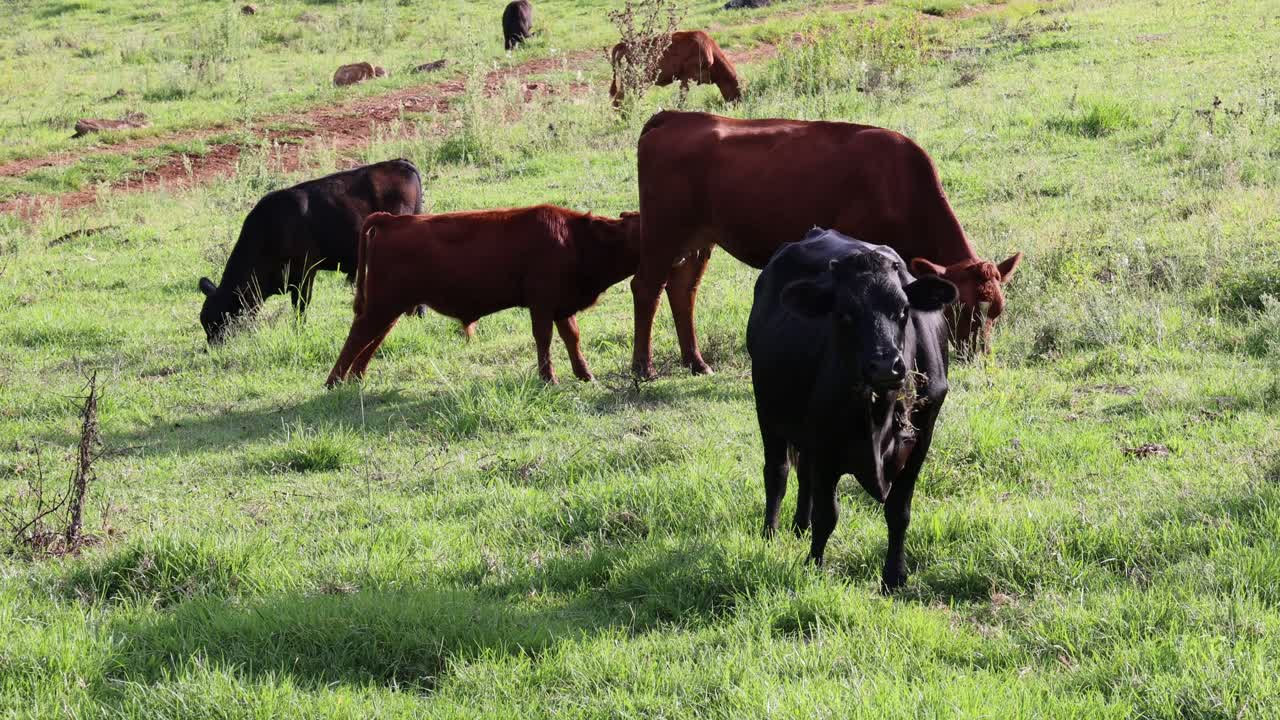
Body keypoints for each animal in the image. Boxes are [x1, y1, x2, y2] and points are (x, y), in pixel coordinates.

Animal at [197, 159, 423, 345]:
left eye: (222, 319)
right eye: (204, 322)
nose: (213, 347)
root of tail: (401, 163)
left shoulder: (306, 271)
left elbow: (301, 306)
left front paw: (299, 332)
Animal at [325, 206, 643, 387]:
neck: (574, 238)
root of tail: (393, 220)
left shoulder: (562, 305)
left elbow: (572, 337)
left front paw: (585, 375)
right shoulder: (542, 303)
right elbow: (545, 338)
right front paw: (549, 378)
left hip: (391, 306)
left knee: (372, 338)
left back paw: (355, 380)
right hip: (382, 304)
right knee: (358, 335)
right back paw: (334, 383)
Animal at [610, 30, 741, 106]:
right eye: (737, 88)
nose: (739, 103)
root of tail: (626, 45)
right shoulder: (687, 78)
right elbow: (682, 98)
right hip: (633, 79)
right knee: (618, 98)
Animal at [629, 110, 1021, 378]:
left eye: (997, 312)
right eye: (961, 308)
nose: (979, 356)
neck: (899, 184)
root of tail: (674, 117)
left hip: (698, 240)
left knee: (683, 291)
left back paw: (696, 362)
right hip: (663, 231)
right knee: (646, 288)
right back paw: (643, 368)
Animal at [747, 228, 956, 591]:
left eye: (903, 310)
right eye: (844, 313)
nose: (885, 366)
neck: (879, 417)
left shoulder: (920, 442)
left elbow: (899, 512)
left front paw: (894, 577)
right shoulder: (825, 445)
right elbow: (827, 514)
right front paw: (813, 568)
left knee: (803, 474)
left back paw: (799, 527)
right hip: (768, 412)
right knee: (778, 472)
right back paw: (770, 534)